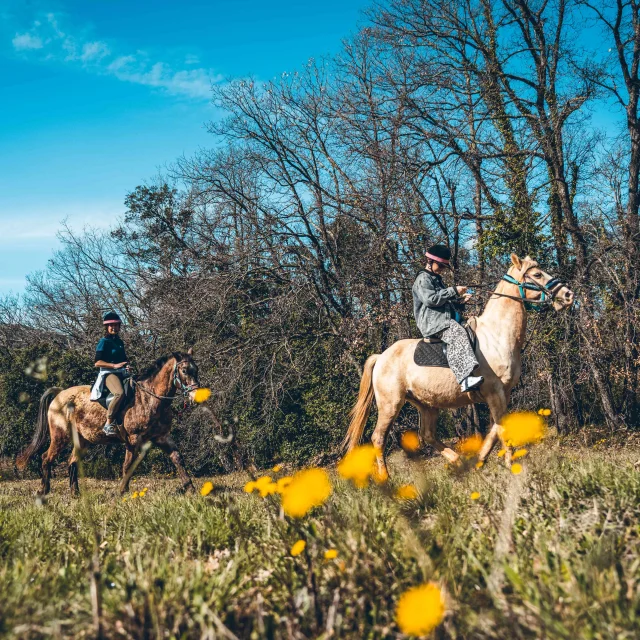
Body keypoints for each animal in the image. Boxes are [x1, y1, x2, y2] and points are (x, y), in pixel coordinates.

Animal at [17, 350, 201, 495]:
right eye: (184, 370)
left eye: (196, 370)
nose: (195, 396)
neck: (151, 398)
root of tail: (59, 394)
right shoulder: (133, 439)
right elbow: (128, 465)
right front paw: (122, 491)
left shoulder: (162, 437)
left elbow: (177, 458)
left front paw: (190, 489)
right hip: (60, 436)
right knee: (46, 457)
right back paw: (44, 490)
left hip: (83, 440)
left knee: (72, 461)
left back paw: (75, 493)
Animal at [344, 254, 575, 478]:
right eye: (537, 274)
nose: (568, 295)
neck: (497, 336)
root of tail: (382, 356)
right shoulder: (494, 392)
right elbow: (501, 429)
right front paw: (512, 466)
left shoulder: (503, 393)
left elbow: (494, 430)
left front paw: (480, 461)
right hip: (390, 404)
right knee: (378, 438)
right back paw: (386, 479)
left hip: (426, 404)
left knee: (427, 434)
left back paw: (459, 462)